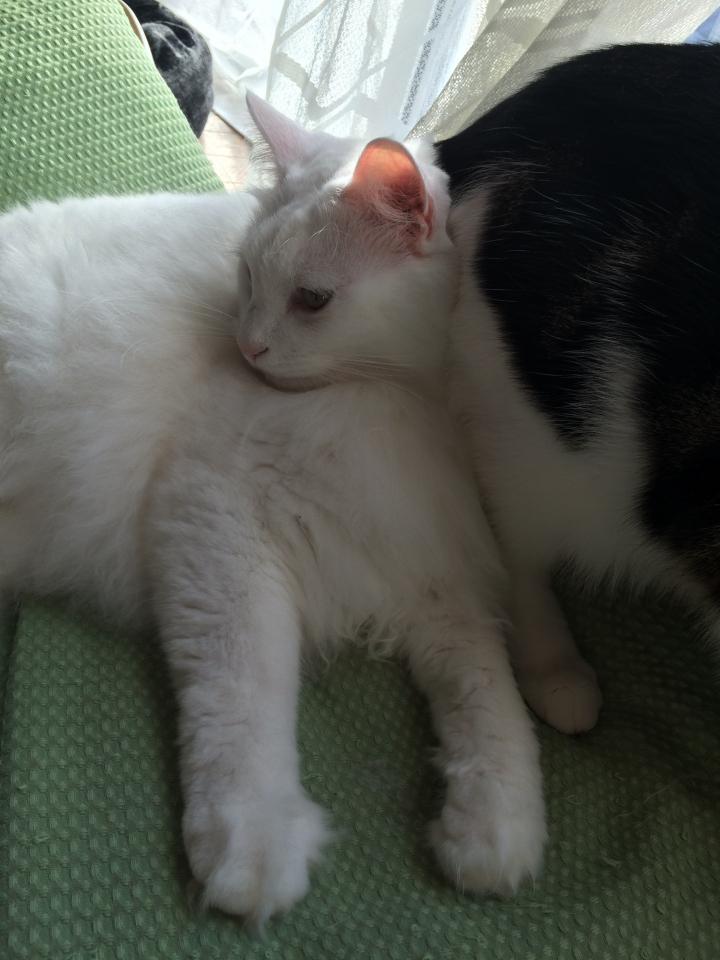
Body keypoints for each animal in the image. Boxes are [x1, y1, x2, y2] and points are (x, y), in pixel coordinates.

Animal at [0, 93, 545, 923]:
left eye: (311, 299)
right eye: (248, 276)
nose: (249, 347)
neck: (410, 403)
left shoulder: (435, 572)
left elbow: (494, 705)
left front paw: (494, 829)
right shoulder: (217, 517)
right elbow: (245, 694)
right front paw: (252, 845)